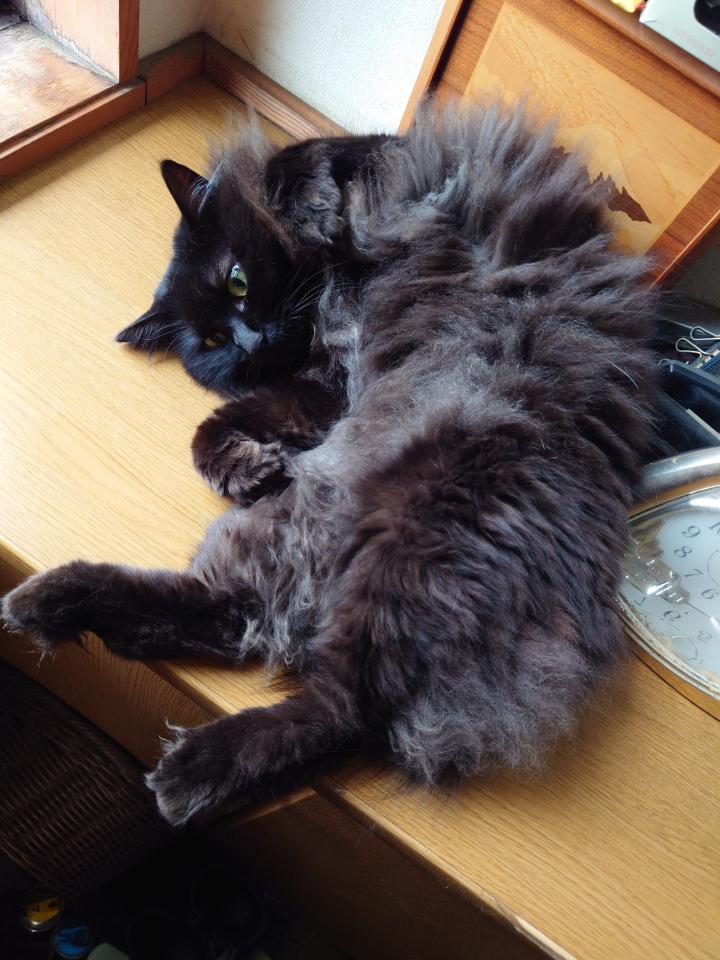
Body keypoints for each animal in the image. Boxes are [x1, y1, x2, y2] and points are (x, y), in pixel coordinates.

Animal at [2, 103, 657, 826]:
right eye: (210, 340)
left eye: (238, 280)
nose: (252, 339)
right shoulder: (317, 391)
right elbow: (210, 431)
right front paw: (252, 469)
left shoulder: (331, 370)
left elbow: (310, 167)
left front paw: (309, 204)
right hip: (312, 544)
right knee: (242, 630)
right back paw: (50, 602)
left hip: (399, 556)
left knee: (341, 705)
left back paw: (189, 771)